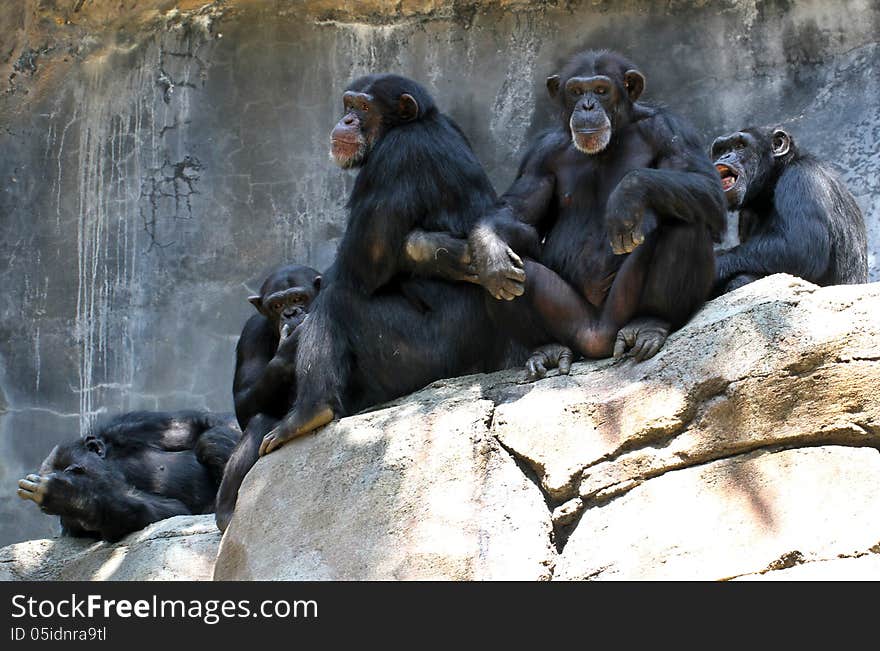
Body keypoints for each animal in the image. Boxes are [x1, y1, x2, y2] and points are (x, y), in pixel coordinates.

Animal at [17, 410, 242, 544]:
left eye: (74, 470)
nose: (75, 481)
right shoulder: (72, 523)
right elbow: (165, 511)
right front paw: (71, 498)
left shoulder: (132, 426)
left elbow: (199, 424)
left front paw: (66, 493)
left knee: (210, 439)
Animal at [253, 72, 516, 458]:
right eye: (349, 104)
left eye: (363, 108)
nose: (347, 120)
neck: (413, 125)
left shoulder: (394, 159)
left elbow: (360, 266)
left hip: (421, 357)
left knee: (337, 302)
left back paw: (308, 412)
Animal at [464, 51, 724, 376]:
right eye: (576, 91)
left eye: (601, 90)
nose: (587, 105)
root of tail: (596, 341)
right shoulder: (539, 155)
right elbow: (516, 213)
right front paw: (490, 252)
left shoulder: (671, 130)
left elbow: (707, 186)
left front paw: (627, 195)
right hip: (571, 322)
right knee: (504, 269)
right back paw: (545, 346)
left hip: (619, 312)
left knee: (684, 222)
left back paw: (650, 322)